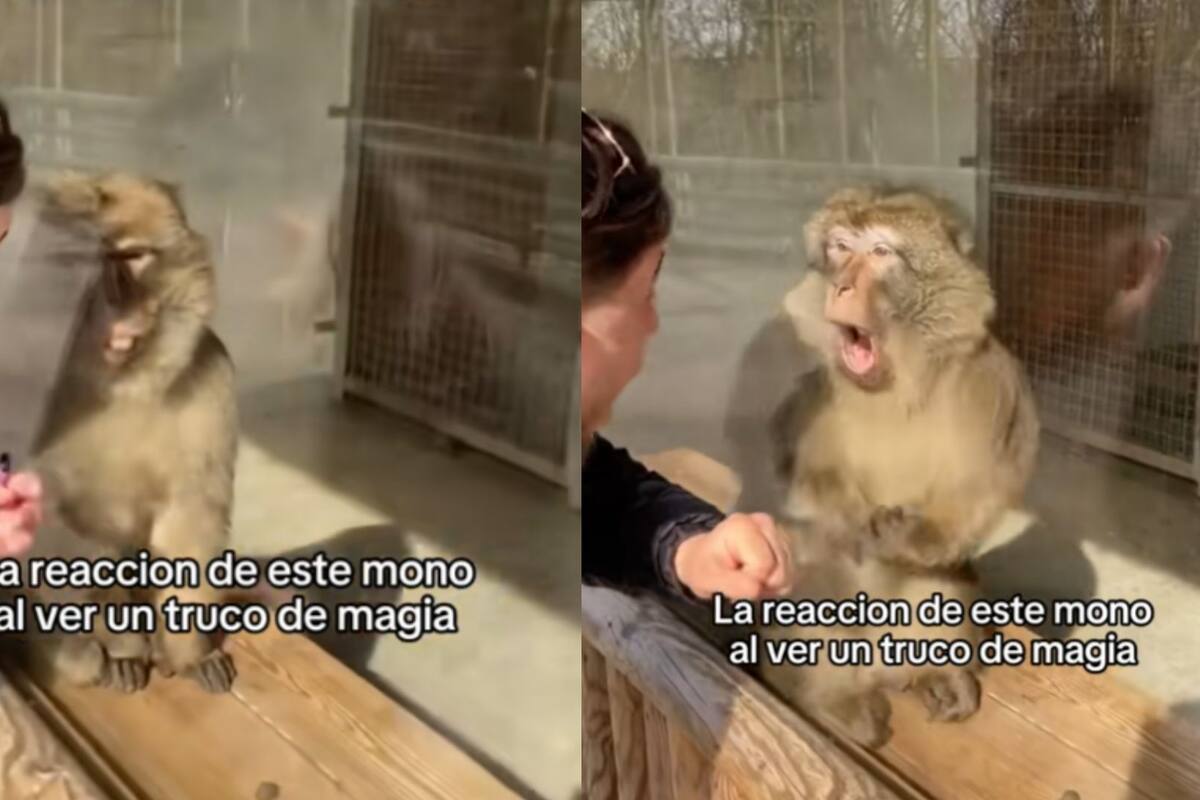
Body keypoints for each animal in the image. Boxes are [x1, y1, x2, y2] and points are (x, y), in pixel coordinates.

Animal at [21, 171, 238, 694]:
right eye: (91, 260)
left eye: (132, 257)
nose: (115, 295)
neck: (123, 384)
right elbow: (59, 521)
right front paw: (120, 647)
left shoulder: (214, 379)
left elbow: (193, 516)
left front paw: (191, 651)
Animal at [749, 186, 1040, 747]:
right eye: (840, 247)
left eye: (881, 252)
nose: (841, 285)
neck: (894, 383)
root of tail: (876, 667)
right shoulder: (810, 379)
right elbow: (791, 467)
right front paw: (848, 519)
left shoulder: (990, 378)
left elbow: (990, 480)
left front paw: (911, 536)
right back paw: (837, 702)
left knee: (947, 589)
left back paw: (934, 674)